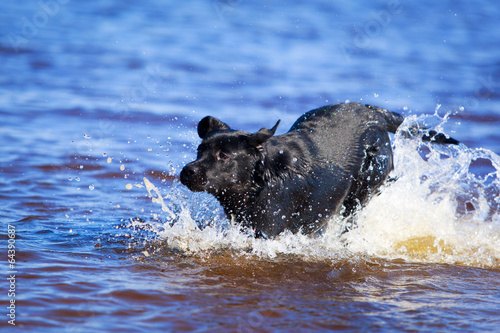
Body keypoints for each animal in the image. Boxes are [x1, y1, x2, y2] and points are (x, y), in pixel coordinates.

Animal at [181, 102, 458, 237]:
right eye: (199, 150)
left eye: (224, 155)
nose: (187, 171)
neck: (263, 179)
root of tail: (373, 113)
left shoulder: (268, 230)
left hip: (363, 189)